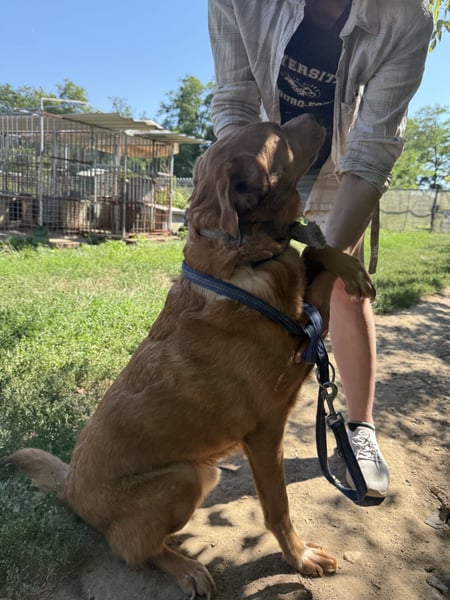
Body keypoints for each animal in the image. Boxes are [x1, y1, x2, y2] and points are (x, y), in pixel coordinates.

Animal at [0, 114, 375, 599]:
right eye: (276, 130)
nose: (318, 116)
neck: (240, 260)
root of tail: (70, 488)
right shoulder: (267, 428)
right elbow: (278, 509)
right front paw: (299, 558)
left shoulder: (306, 327)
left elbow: (313, 251)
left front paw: (351, 268)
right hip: (185, 477)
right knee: (132, 548)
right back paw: (184, 567)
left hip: (200, 473)